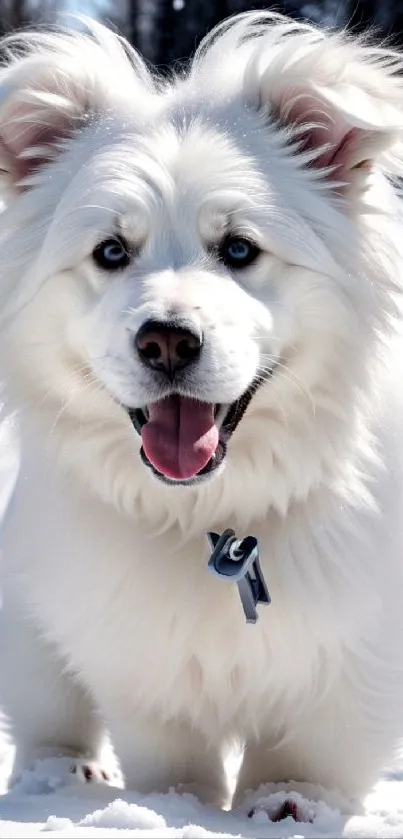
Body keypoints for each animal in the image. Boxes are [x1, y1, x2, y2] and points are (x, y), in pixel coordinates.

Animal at [0, 11, 403, 820]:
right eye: (111, 250)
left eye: (240, 248)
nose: (165, 339)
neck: (218, 512)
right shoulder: (140, 657)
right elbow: (169, 753)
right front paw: (176, 808)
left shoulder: (359, 648)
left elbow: (311, 750)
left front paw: (288, 804)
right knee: (48, 711)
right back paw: (62, 775)